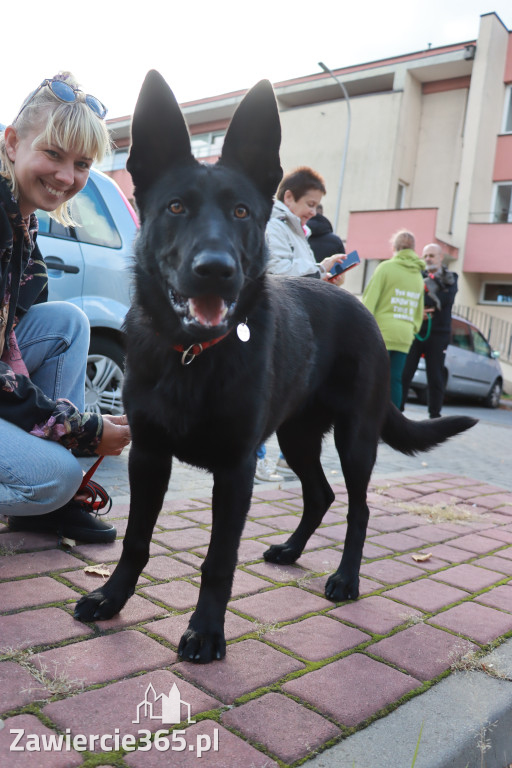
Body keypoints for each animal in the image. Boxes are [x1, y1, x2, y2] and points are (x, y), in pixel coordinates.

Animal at [75, 70, 476, 660]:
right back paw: (291, 550)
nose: (215, 270)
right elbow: (135, 540)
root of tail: (360, 307)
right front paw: (111, 598)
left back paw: (346, 579)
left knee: (357, 508)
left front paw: (206, 630)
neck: (193, 356)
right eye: (176, 208)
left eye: (241, 212)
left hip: (355, 438)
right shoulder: (148, 456)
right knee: (320, 494)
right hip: (296, 436)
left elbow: (218, 560)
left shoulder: (237, 469)